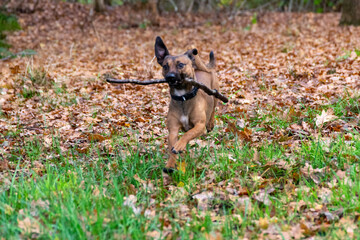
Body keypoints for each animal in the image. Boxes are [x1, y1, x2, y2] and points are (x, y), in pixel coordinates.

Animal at [153, 36, 218, 172]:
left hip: (215, 94)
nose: (170, 77)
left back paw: (210, 123)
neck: (182, 98)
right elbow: (172, 147)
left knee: (213, 109)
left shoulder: (200, 126)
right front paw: (170, 164)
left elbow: (188, 133)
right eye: (165, 66)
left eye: (180, 65)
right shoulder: (173, 130)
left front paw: (180, 145)